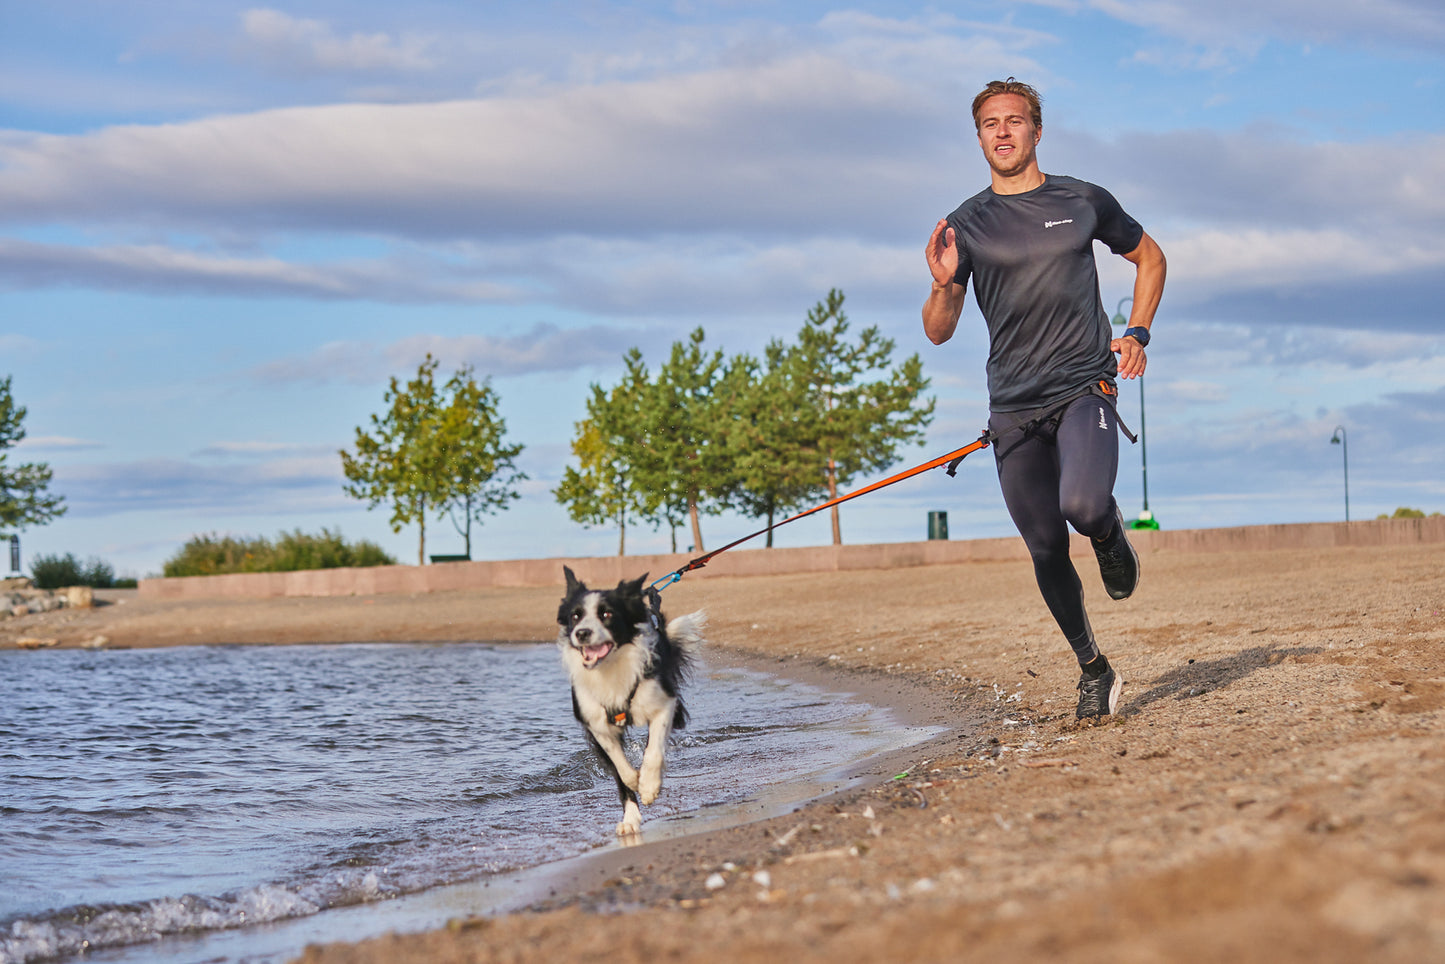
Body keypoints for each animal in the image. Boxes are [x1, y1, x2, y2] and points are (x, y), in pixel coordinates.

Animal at [557, 569, 705, 832]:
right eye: (576, 616)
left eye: (607, 614)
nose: (581, 633)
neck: (610, 667)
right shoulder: (595, 722)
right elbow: (620, 767)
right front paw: (635, 785)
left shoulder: (665, 703)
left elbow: (653, 750)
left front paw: (648, 786)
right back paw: (630, 819)